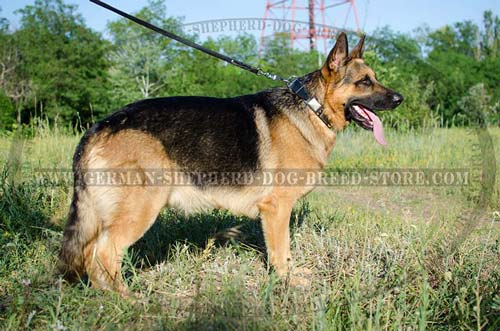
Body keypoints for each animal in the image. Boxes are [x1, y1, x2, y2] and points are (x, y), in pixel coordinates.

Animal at [59, 32, 402, 294]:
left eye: (375, 79)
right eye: (364, 82)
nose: (400, 99)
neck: (311, 107)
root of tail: (100, 126)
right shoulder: (276, 210)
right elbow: (282, 252)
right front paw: (287, 282)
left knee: (91, 255)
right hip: (139, 210)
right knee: (102, 255)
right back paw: (125, 299)